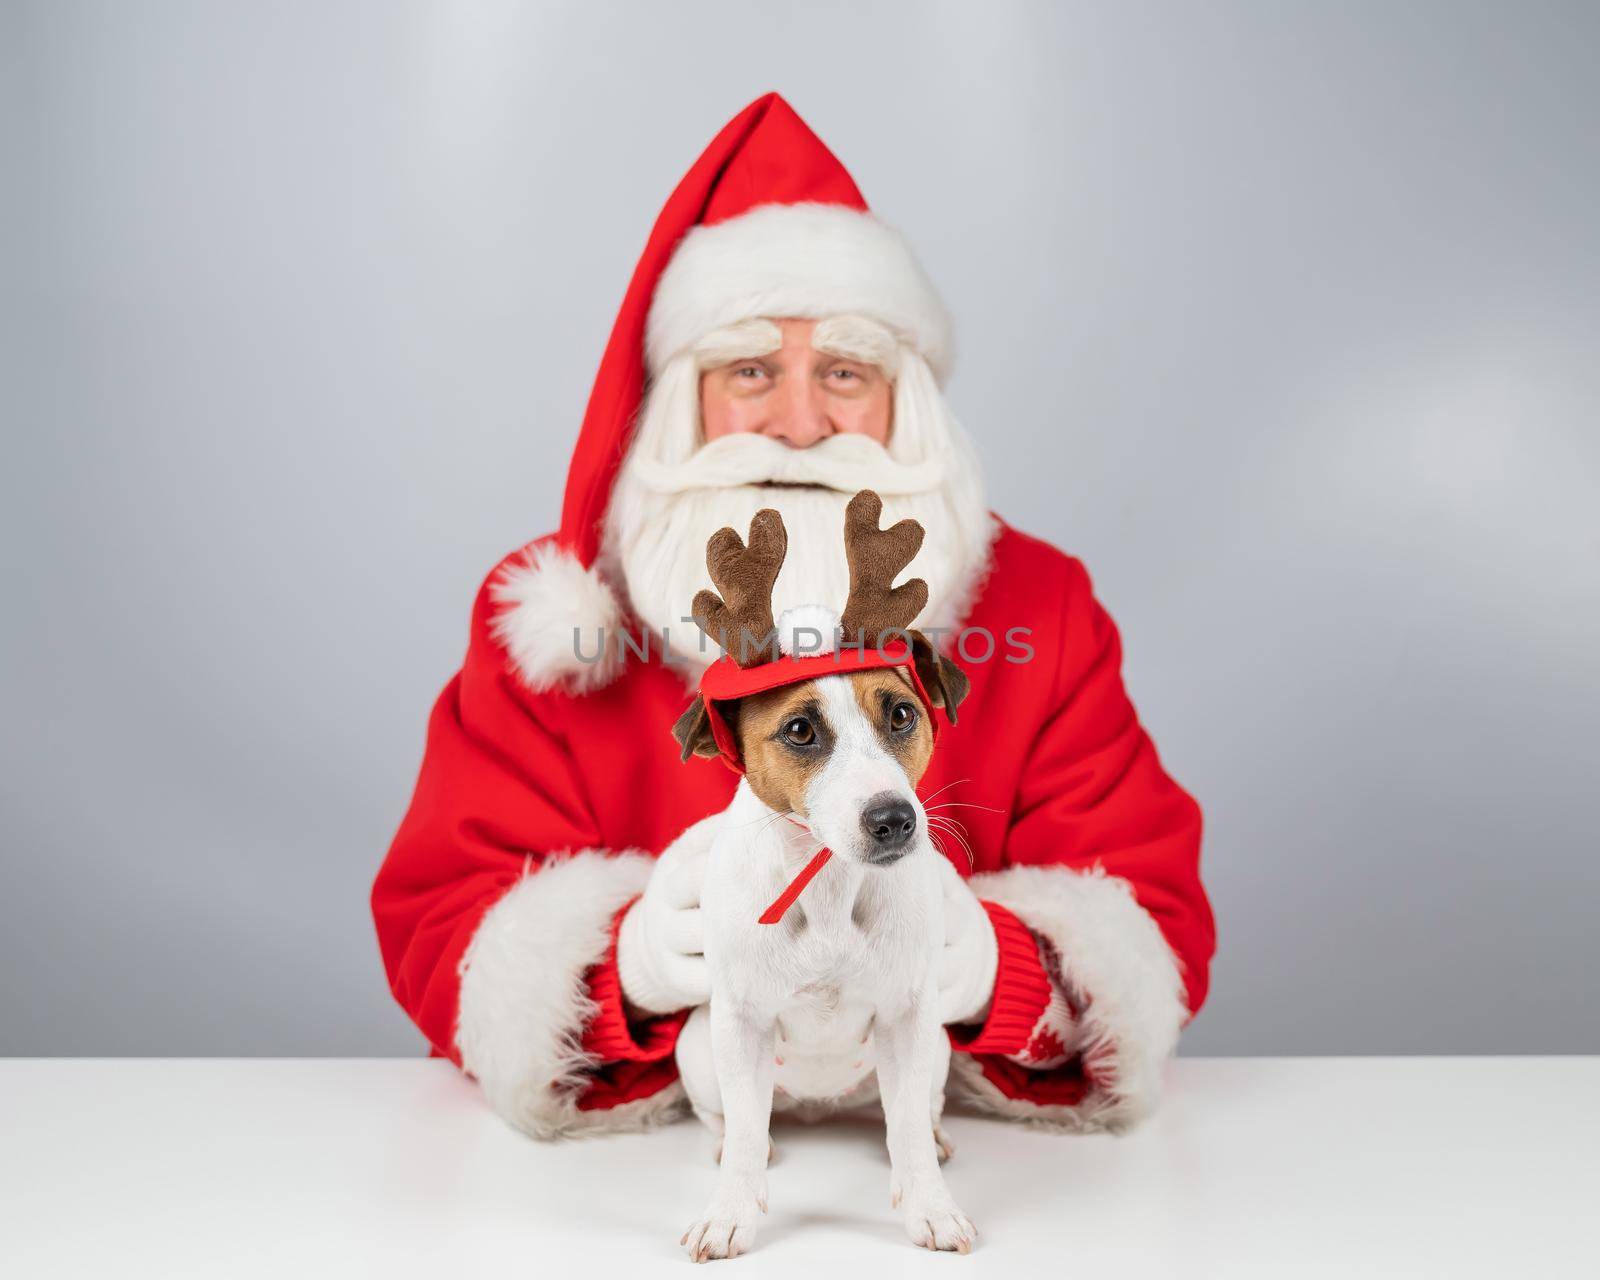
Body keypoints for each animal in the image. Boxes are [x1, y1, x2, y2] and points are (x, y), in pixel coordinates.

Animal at [665, 492, 972, 1260]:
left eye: (903, 714)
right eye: (801, 731)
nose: (894, 819)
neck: (829, 885)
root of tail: (817, 1106)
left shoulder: (907, 1019)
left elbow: (907, 1133)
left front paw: (930, 1205)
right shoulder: (741, 1021)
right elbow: (747, 1130)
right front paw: (730, 1211)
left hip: (938, 1046)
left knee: (913, 1113)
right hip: (697, 1046)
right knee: (735, 1121)